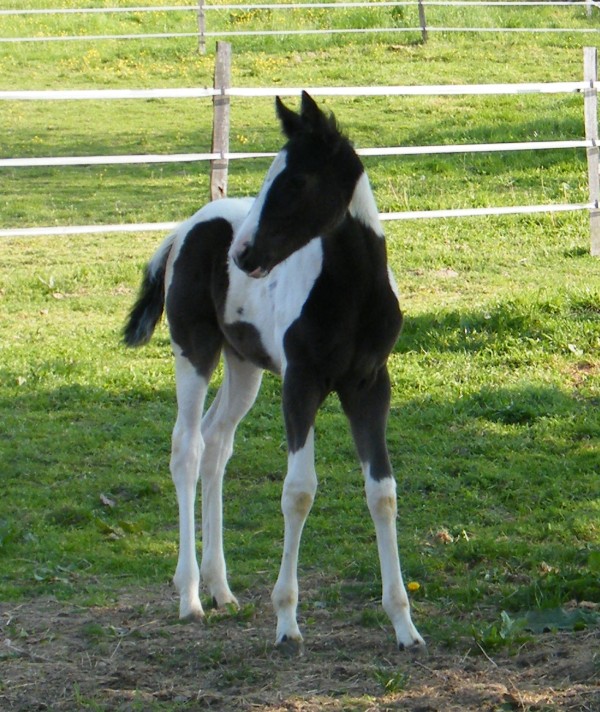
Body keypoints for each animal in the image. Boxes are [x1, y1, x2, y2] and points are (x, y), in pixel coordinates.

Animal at [124, 90, 424, 652]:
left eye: (296, 181)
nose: (241, 255)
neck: (351, 292)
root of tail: (183, 230)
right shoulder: (300, 385)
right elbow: (299, 491)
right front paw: (286, 621)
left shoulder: (370, 386)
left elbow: (383, 493)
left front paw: (404, 626)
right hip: (194, 352)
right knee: (187, 447)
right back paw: (191, 595)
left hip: (244, 367)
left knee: (217, 444)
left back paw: (221, 588)